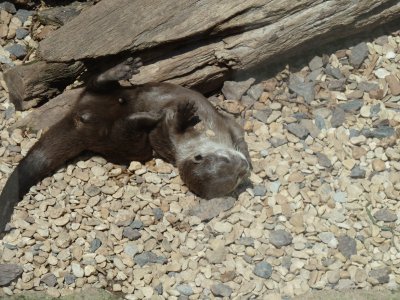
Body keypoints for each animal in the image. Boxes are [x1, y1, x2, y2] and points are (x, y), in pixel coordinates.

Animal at [0, 58, 250, 232]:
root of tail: (81, 121)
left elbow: (240, 135)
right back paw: (128, 83)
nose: (244, 168)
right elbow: (170, 125)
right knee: (102, 93)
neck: (205, 132)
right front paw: (183, 114)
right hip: (121, 137)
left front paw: (248, 156)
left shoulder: (228, 125)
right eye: (225, 161)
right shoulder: (171, 136)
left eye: (236, 178)